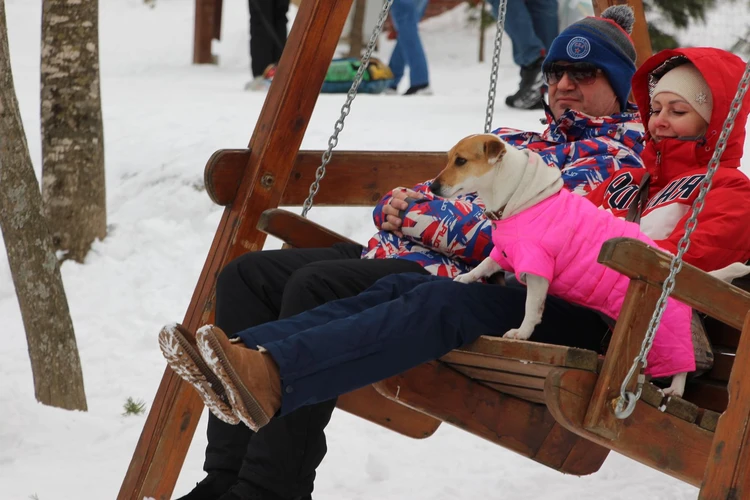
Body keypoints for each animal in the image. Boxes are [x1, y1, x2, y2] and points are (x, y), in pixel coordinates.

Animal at [428, 134, 750, 398]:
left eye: (461, 161)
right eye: (449, 157)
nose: (433, 186)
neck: (518, 198)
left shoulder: (537, 267)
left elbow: (531, 308)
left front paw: (521, 333)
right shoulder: (507, 253)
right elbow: (484, 265)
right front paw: (465, 279)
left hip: (663, 328)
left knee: (683, 363)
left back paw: (675, 389)